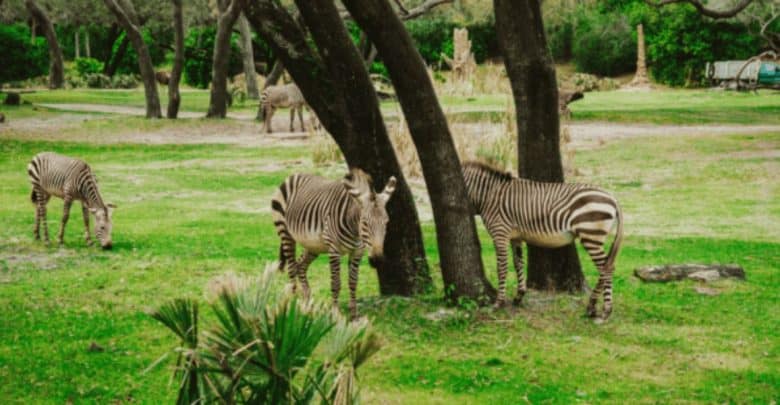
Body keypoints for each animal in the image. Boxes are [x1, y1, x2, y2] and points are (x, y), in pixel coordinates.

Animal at [271, 168, 396, 319]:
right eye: (365, 223)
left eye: (386, 222)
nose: (377, 260)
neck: (355, 230)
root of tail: (294, 175)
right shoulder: (334, 250)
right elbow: (336, 283)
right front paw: (335, 313)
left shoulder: (357, 251)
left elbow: (353, 282)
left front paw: (354, 315)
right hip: (285, 233)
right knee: (291, 268)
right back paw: (293, 305)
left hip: (313, 244)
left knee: (300, 265)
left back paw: (307, 304)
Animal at [462, 161, 623, 320]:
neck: (489, 196)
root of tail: (613, 198)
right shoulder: (515, 237)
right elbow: (518, 264)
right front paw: (519, 296)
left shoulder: (500, 234)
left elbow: (501, 268)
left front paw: (498, 303)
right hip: (593, 237)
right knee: (607, 265)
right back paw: (592, 307)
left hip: (590, 235)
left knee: (606, 268)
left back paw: (606, 310)